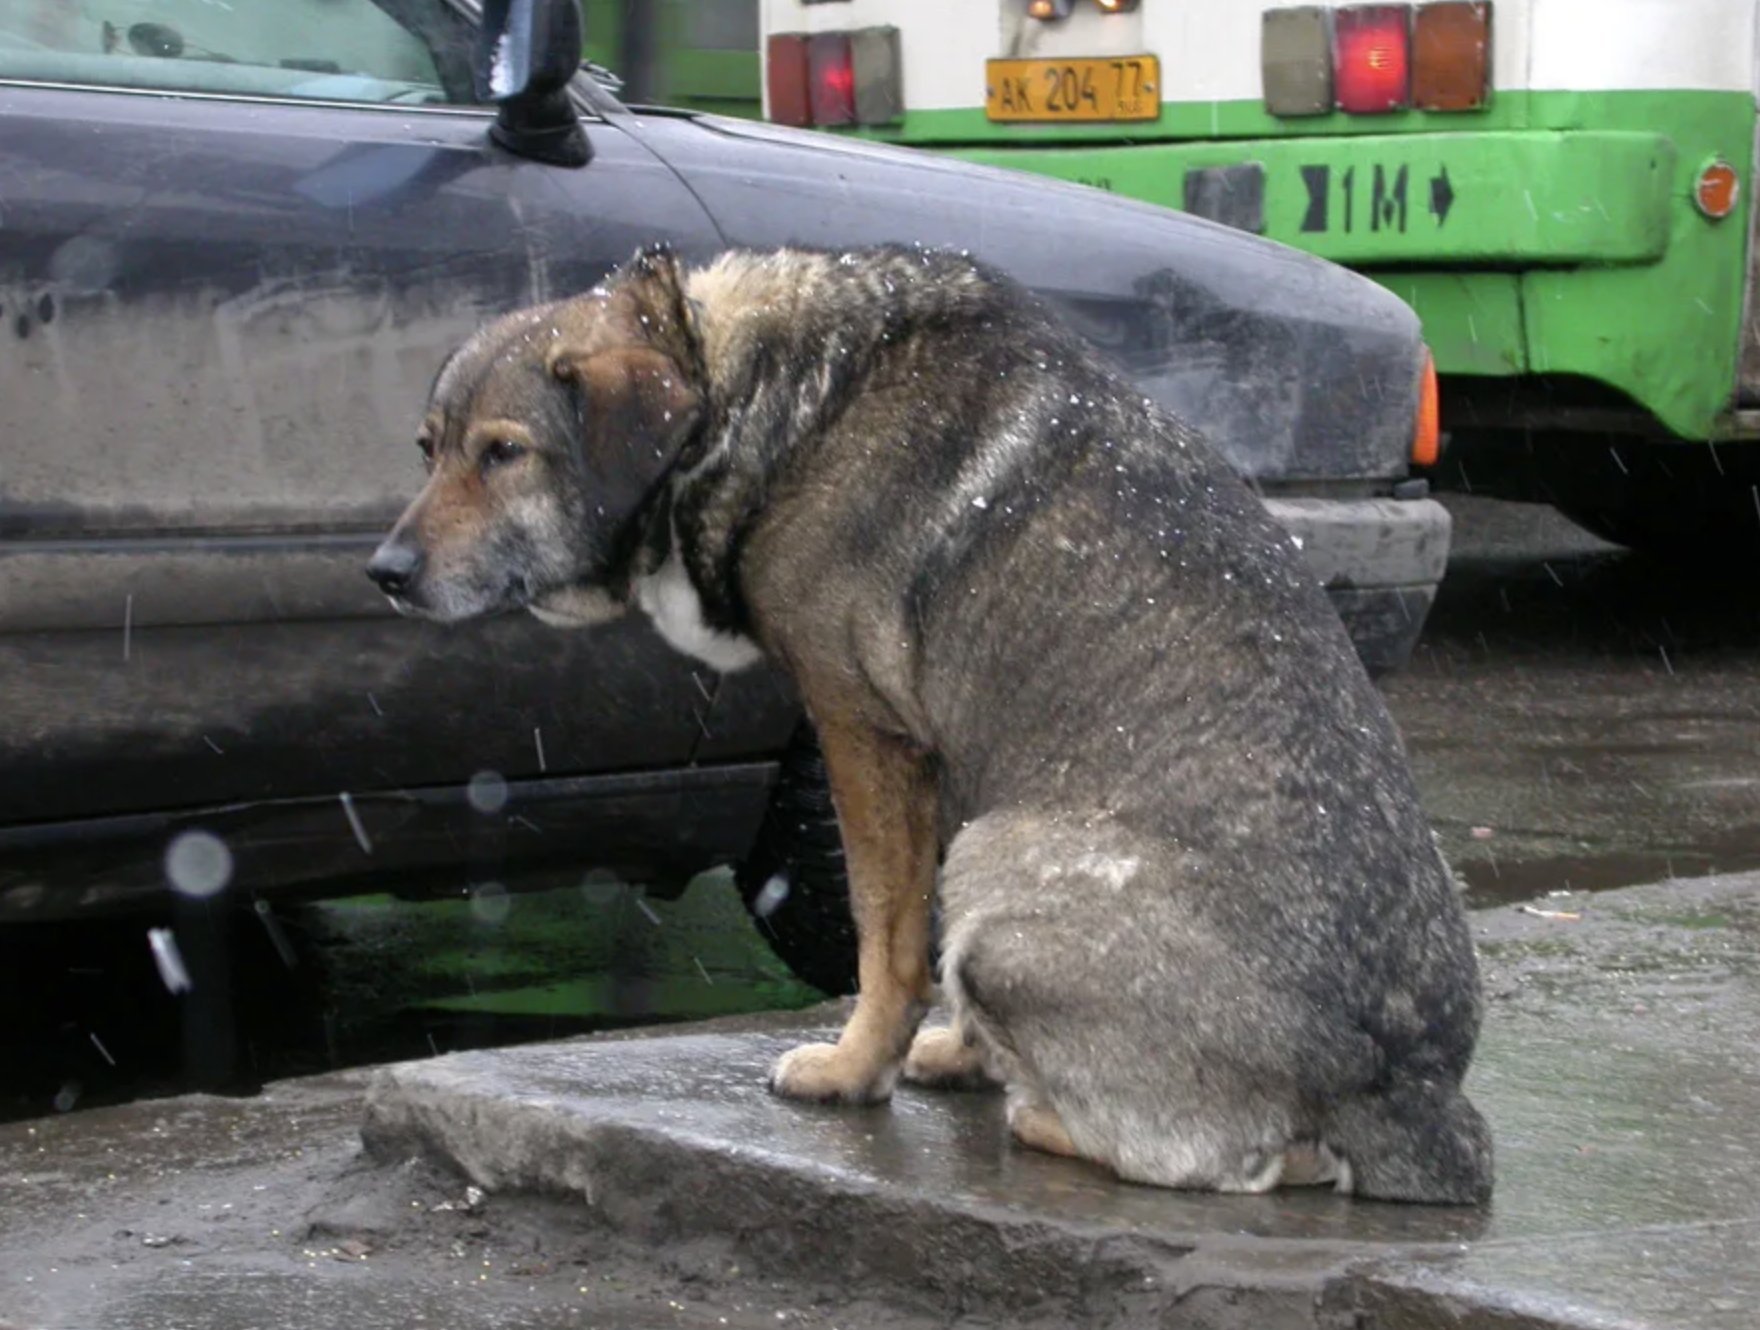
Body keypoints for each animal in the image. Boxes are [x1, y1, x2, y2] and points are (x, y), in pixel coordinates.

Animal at [364, 241, 1492, 1203]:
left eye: (503, 453)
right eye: (427, 449)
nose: (385, 573)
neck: (757, 392)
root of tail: (1409, 1090)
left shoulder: (860, 733)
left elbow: (889, 935)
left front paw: (858, 1066)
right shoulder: (943, 755)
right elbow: (920, 941)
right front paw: (958, 1050)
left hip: (999, 864)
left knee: (1231, 1163)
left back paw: (1044, 1115)